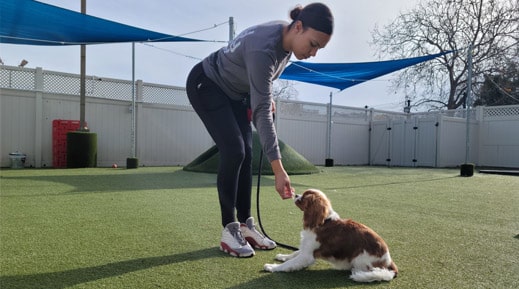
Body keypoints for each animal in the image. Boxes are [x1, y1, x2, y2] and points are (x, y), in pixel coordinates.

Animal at [264, 187, 398, 282]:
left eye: (304, 196)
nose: (296, 194)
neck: (323, 221)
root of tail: (389, 262)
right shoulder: (305, 248)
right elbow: (294, 254)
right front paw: (283, 256)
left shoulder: (307, 255)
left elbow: (288, 264)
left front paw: (272, 267)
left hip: (359, 259)